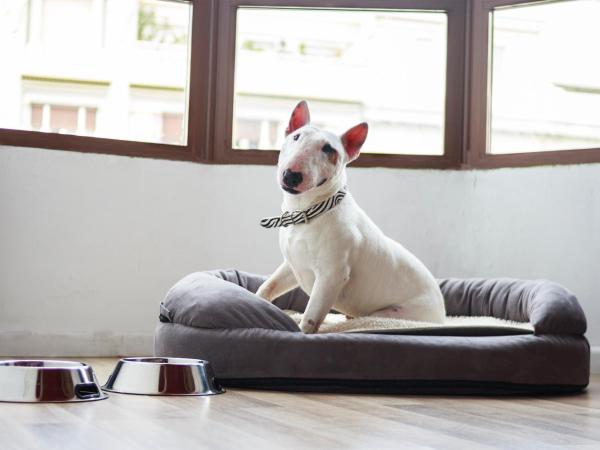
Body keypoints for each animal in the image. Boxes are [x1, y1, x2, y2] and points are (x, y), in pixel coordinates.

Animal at [254, 103, 446, 334]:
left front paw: (302, 331)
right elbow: (267, 285)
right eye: (296, 137)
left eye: (328, 149)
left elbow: (310, 317)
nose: (291, 175)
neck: (307, 211)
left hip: (390, 315)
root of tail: (442, 311)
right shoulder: (292, 265)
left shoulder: (331, 275)